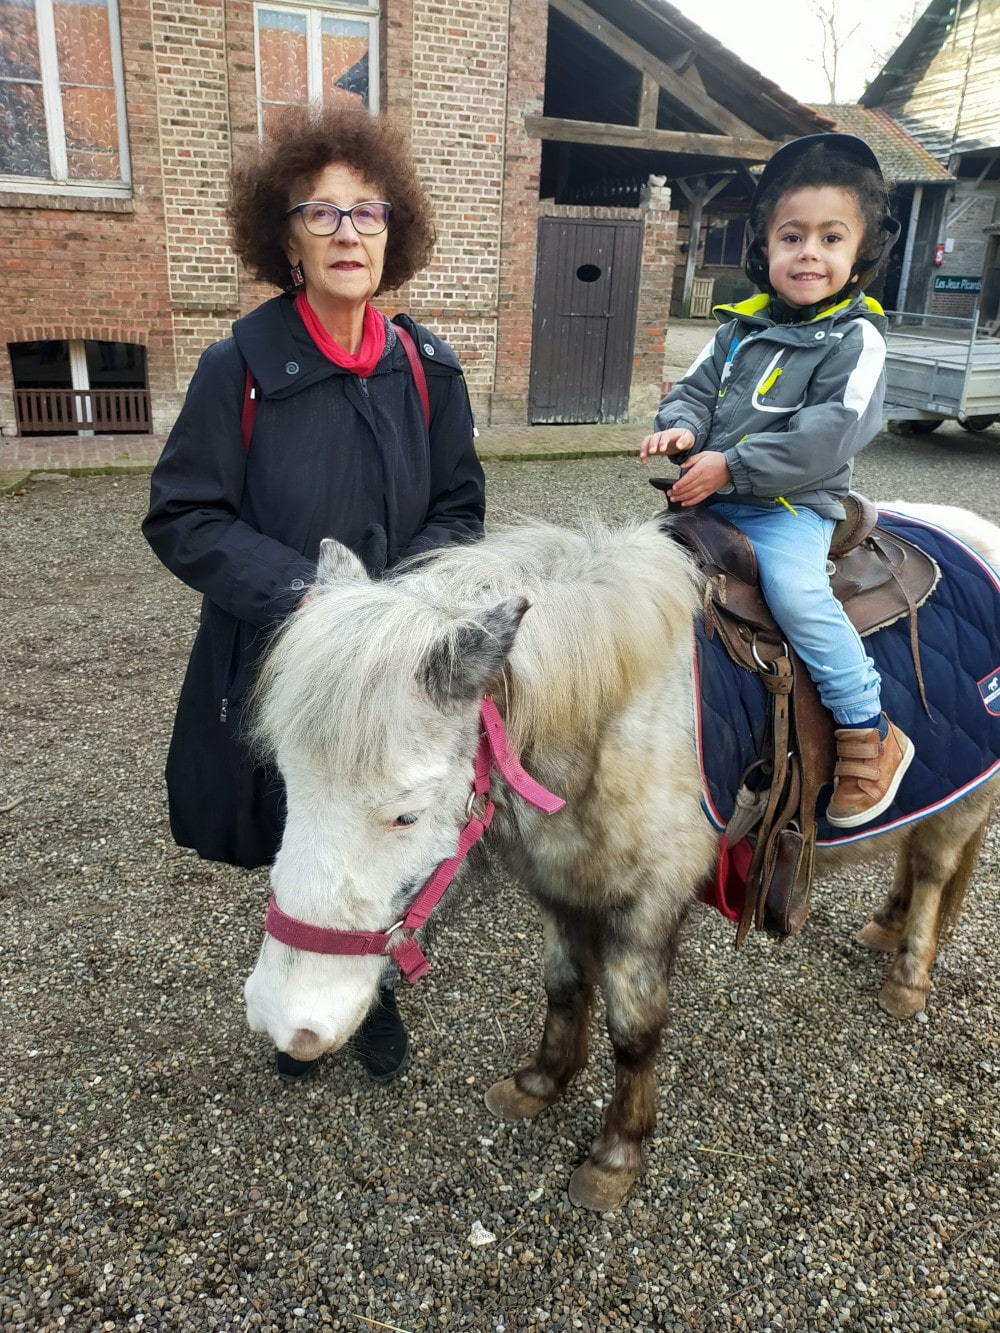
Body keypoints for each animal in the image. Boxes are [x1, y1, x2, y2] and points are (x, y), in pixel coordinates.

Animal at [242, 501, 1000, 1210]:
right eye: (287, 781)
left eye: (406, 812)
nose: (286, 1019)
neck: (613, 721)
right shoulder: (561, 885)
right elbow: (564, 986)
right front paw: (540, 1082)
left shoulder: (647, 907)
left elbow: (634, 1030)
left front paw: (616, 1151)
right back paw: (886, 924)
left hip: (962, 800)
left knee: (935, 869)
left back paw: (908, 974)